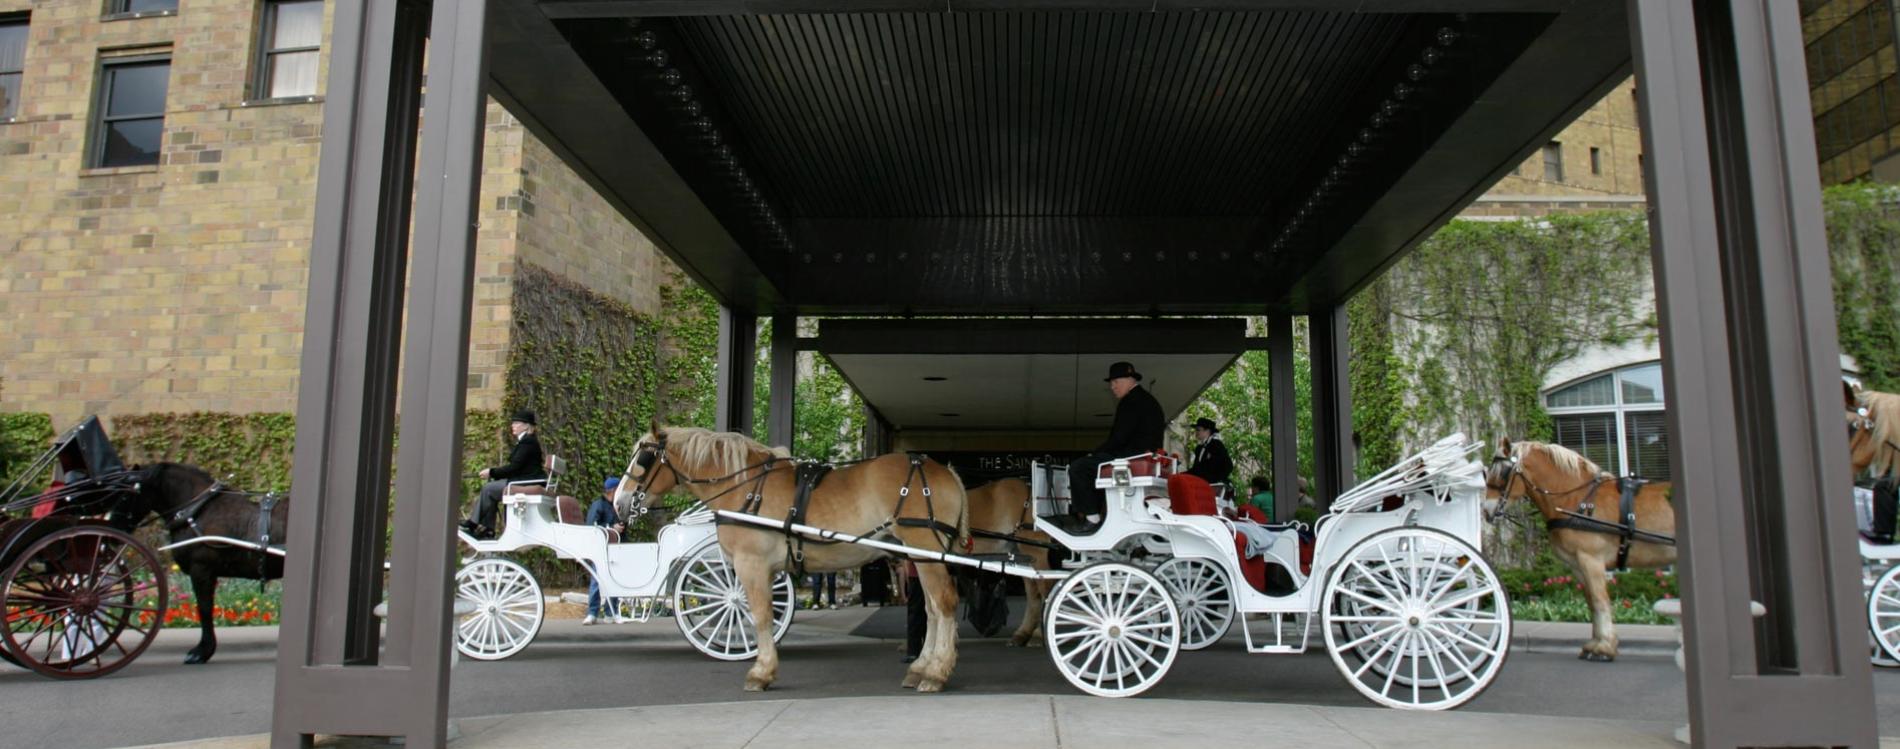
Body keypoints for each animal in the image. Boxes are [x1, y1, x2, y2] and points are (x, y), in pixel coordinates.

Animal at [122, 465, 288, 665]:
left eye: (127, 493)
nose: (114, 523)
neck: (198, 512)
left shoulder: (201, 570)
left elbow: (204, 607)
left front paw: (202, 650)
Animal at [615, 423, 965, 691]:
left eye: (643, 457)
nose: (619, 502)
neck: (744, 487)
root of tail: (945, 471)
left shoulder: (750, 564)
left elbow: (759, 615)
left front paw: (761, 672)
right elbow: (765, 615)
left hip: (926, 551)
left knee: (944, 604)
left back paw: (936, 673)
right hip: (918, 556)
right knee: (932, 609)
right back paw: (921, 667)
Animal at [965, 477, 1056, 646]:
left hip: (1035, 552)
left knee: (1045, 587)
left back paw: (1040, 634)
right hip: (1023, 556)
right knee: (1033, 592)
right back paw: (1024, 634)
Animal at [1482, 439, 1679, 661]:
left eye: (1502, 473)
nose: (1486, 510)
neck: (1576, 500)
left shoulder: (1591, 559)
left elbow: (1600, 601)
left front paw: (1604, 647)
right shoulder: (1577, 564)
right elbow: (1591, 602)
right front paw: (1595, 643)